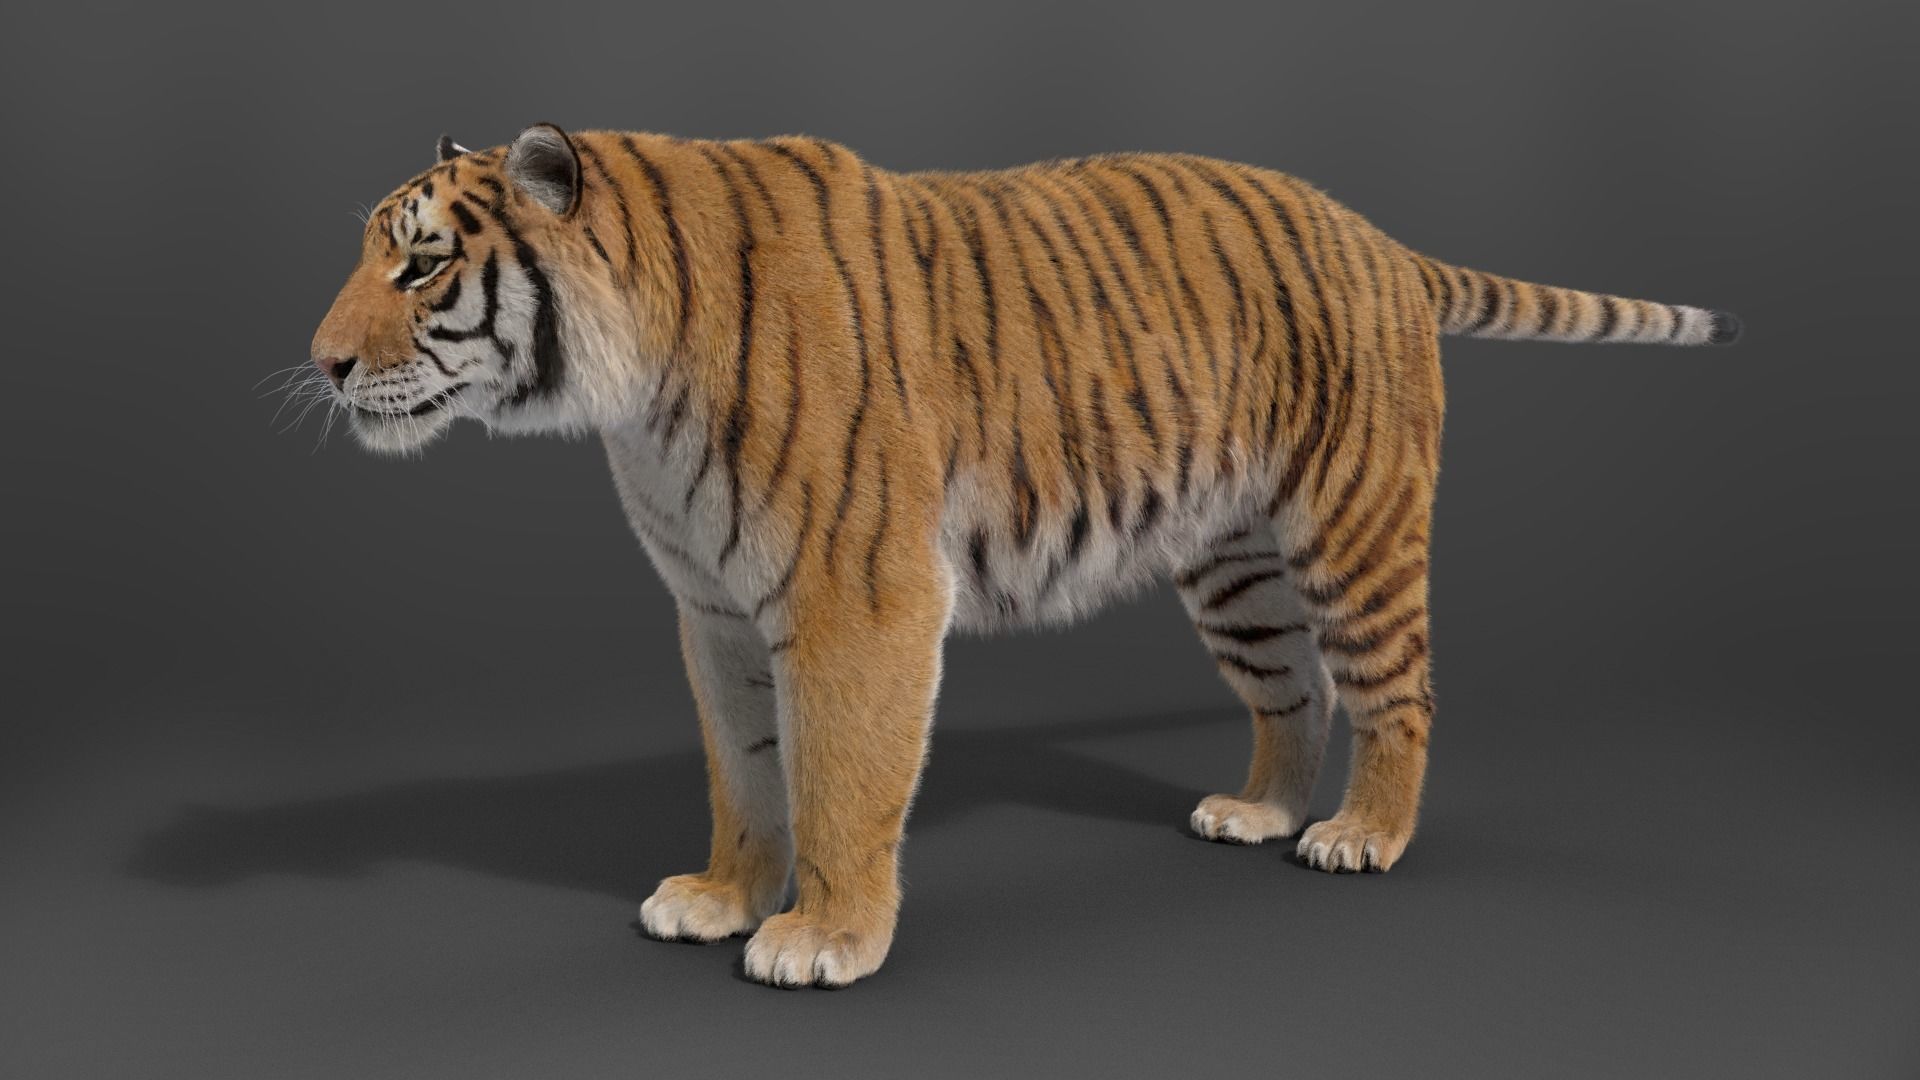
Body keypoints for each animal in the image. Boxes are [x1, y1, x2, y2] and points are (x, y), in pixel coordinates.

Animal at [309, 123, 1740, 988]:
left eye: (421, 265)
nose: (318, 365)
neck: (628, 393)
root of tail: (1378, 238)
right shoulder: (712, 613)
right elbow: (745, 773)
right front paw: (723, 897)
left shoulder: (859, 596)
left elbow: (838, 779)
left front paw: (824, 937)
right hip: (1234, 568)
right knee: (1297, 692)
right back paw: (1259, 812)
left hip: (1354, 526)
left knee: (1400, 691)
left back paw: (1361, 837)